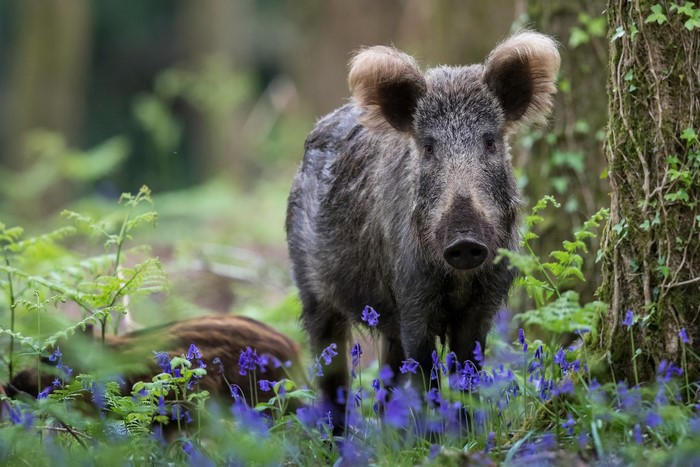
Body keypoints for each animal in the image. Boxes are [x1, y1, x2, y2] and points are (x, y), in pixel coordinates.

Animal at [286, 31, 560, 427]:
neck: (458, 281)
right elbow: (426, 376)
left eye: (490, 141)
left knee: (387, 379)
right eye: (429, 147)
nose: (464, 238)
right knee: (332, 374)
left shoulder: (486, 300)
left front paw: (467, 432)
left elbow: (467, 371)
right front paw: (435, 435)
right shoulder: (412, 295)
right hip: (312, 290)